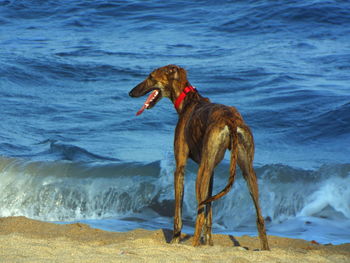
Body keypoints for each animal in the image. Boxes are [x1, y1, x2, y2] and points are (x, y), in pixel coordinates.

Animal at [130, 65, 270, 251]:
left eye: (151, 77)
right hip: (247, 170)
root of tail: (231, 121)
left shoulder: (180, 168)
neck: (189, 100)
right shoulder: (211, 171)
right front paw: (209, 244)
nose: (131, 93)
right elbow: (209, 216)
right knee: (259, 218)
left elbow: (179, 215)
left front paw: (175, 240)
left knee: (199, 216)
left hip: (200, 175)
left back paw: (194, 245)